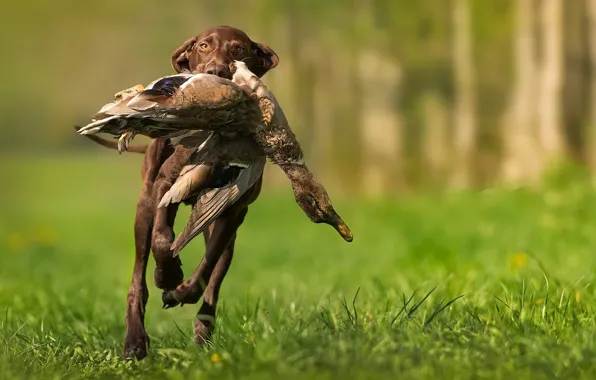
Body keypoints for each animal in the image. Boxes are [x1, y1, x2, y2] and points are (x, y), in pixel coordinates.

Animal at [81, 26, 280, 360]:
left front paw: (181, 291)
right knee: (139, 276)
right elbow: (162, 241)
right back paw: (135, 340)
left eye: (239, 50)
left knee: (213, 283)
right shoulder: (163, 187)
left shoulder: (231, 213)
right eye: (204, 46)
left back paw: (202, 334)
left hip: (224, 232)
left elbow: (207, 268)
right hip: (143, 209)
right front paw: (168, 275)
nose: (215, 71)